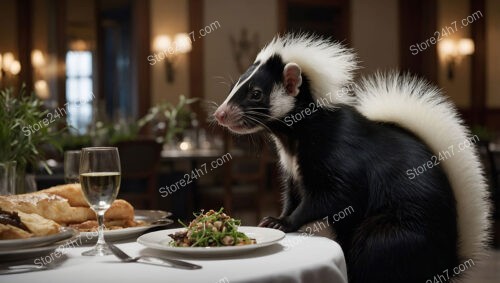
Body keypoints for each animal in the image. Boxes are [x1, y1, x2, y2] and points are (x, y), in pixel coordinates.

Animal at [213, 33, 490, 283]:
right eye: (235, 86)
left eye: (256, 93)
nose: (220, 114)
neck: (294, 137)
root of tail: (447, 261)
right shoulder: (294, 169)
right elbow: (294, 195)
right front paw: (276, 218)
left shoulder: (338, 153)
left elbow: (336, 195)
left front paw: (283, 223)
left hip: (398, 230)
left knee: (375, 248)